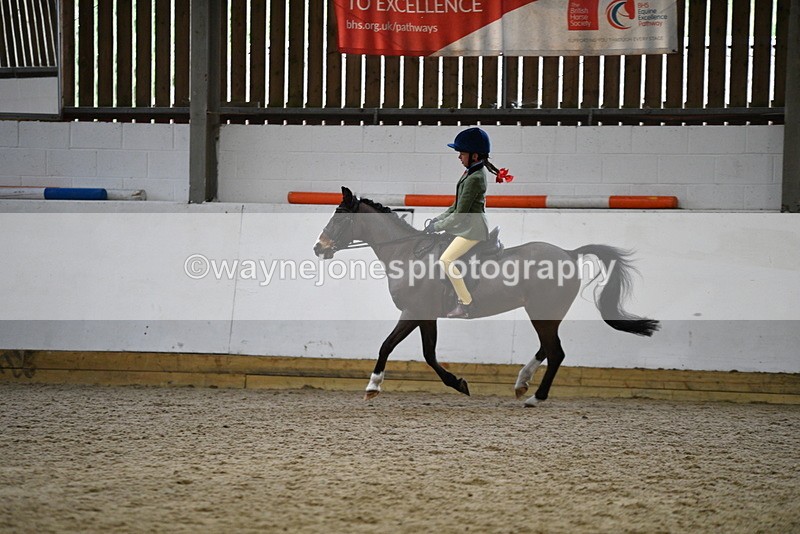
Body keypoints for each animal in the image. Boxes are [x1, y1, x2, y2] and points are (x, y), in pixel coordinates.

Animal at [313, 187, 659, 406]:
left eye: (340, 217)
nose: (318, 248)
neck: (407, 253)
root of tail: (568, 253)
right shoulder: (423, 315)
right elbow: (422, 352)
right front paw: (457, 383)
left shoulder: (415, 311)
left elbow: (396, 347)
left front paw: (374, 386)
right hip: (545, 313)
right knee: (547, 349)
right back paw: (522, 384)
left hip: (542, 312)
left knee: (556, 352)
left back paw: (535, 398)